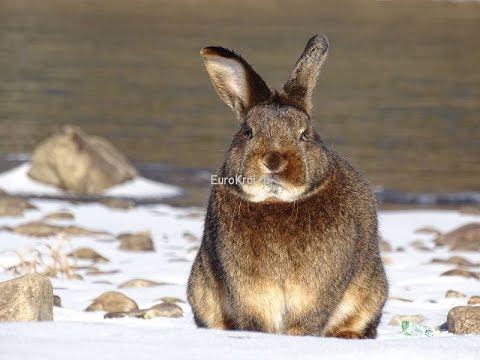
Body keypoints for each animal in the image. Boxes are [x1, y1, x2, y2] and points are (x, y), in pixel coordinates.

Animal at [188, 33, 390, 338]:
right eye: (248, 132)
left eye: (304, 134)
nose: (274, 160)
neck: (276, 203)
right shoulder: (249, 290)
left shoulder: (316, 290)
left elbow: (306, 320)